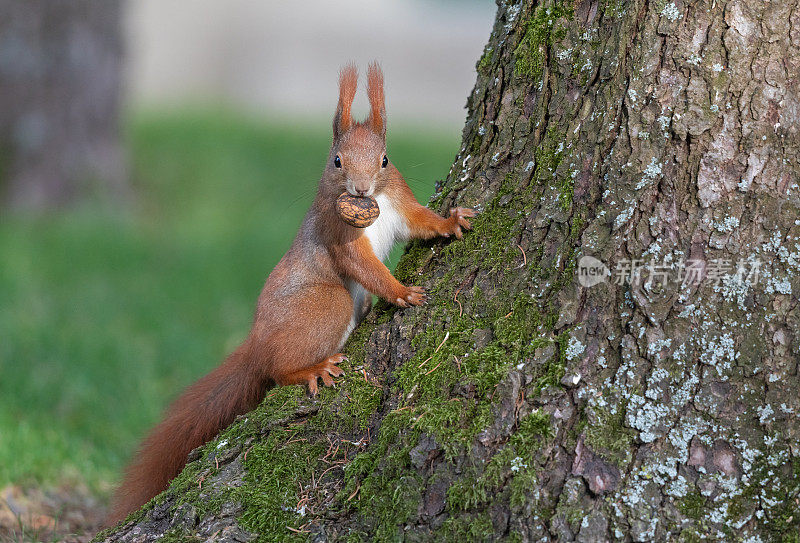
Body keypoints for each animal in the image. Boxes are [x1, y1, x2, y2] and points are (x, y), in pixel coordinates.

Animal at [110, 62, 478, 524]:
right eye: (336, 160)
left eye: (384, 159)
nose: (360, 189)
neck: (372, 203)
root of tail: (257, 344)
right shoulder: (338, 232)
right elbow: (364, 266)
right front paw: (401, 291)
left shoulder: (400, 200)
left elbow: (420, 222)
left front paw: (452, 221)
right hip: (327, 305)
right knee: (278, 370)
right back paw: (308, 370)